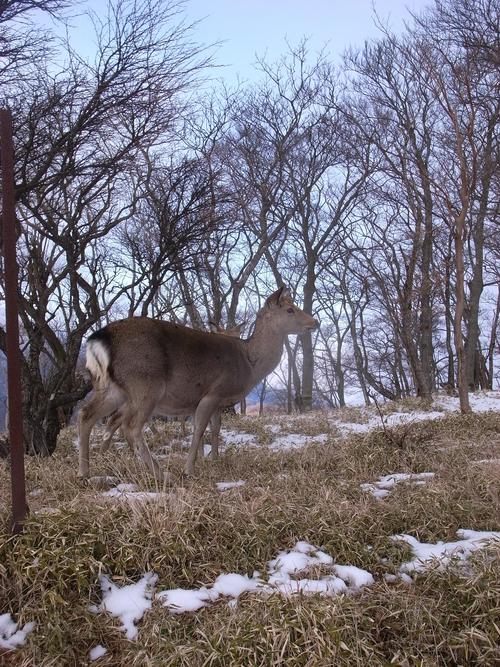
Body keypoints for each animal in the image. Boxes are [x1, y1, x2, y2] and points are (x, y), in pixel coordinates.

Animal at [78, 288, 318, 480]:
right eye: (290, 310)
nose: (314, 322)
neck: (250, 363)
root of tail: (99, 339)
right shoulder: (213, 391)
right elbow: (200, 430)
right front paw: (189, 470)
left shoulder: (217, 402)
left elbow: (215, 429)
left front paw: (214, 461)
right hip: (145, 384)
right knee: (130, 425)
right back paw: (160, 474)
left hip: (112, 387)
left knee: (86, 414)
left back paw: (85, 472)